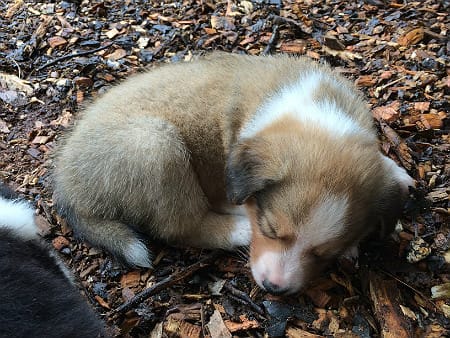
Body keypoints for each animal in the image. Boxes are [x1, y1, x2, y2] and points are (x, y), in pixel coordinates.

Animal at [51, 52, 412, 294]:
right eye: (270, 229)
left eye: (323, 254)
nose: (274, 288)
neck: (319, 111)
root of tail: (67, 187)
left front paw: (398, 175)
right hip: (155, 146)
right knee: (181, 227)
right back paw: (236, 228)